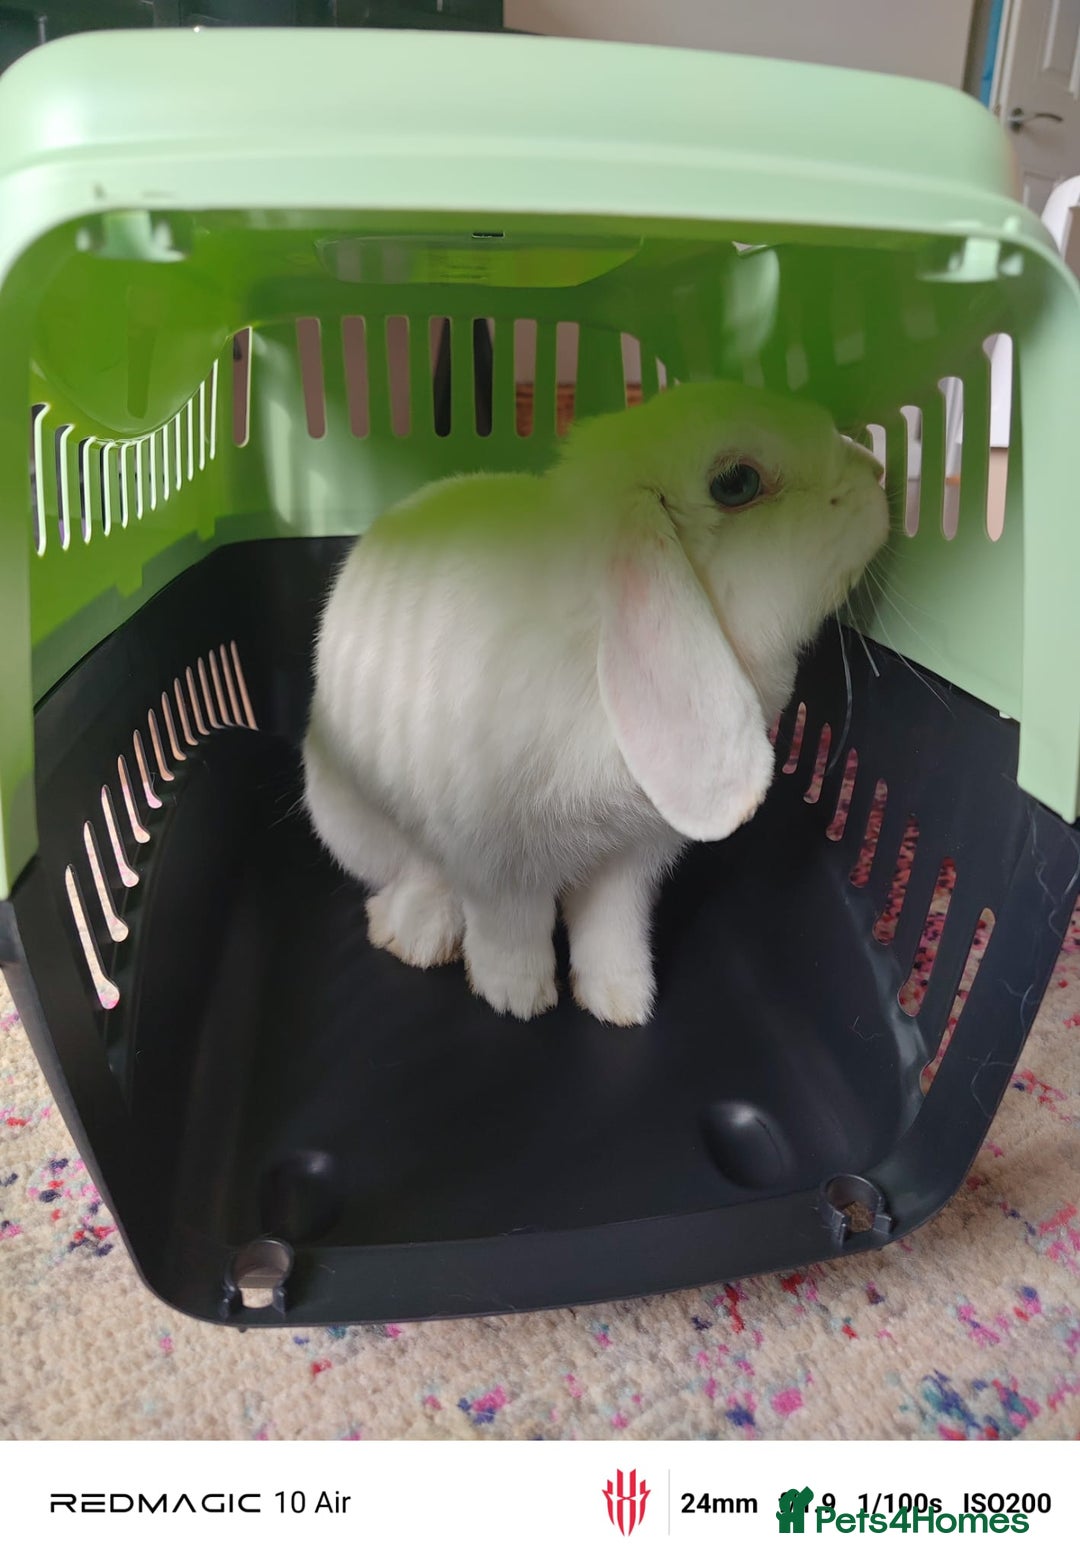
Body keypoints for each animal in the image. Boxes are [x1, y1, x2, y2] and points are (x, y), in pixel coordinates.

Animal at [303, 380, 888, 1026]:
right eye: (737, 483)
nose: (878, 472)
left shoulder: (633, 858)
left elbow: (613, 928)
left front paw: (621, 1002)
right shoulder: (497, 867)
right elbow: (511, 932)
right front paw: (519, 1000)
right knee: (419, 874)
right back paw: (413, 934)